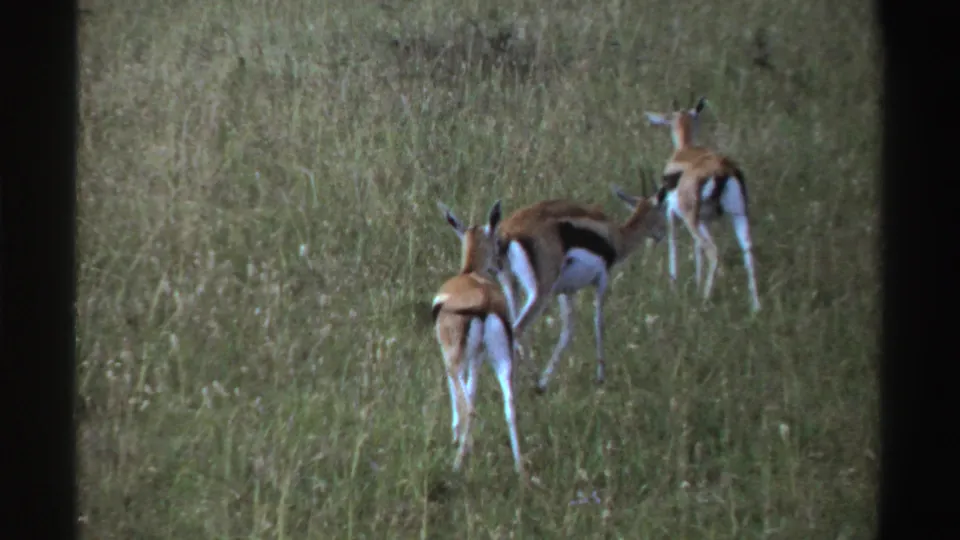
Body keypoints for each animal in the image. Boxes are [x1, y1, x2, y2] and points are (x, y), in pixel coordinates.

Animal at [431, 200, 526, 478]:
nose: (500, 265)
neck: (470, 273)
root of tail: (484, 303)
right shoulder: (478, 357)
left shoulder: (451, 355)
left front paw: (455, 437)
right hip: (502, 360)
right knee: (510, 406)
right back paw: (520, 470)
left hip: (457, 358)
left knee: (470, 409)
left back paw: (457, 464)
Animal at [494, 181, 666, 394]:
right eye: (662, 208)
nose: (662, 234)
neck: (616, 236)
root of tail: (509, 232)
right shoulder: (602, 279)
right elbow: (599, 322)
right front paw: (601, 377)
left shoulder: (567, 291)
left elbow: (568, 330)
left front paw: (546, 380)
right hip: (540, 292)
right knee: (518, 329)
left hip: (511, 286)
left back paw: (530, 382)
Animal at [644, 96, 761, 312]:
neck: (684, 151)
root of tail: (722, 169)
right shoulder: (704, 219)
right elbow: (697, 249)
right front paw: (696, 285)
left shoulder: (672, 214)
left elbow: (674, 245)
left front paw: (674, 287)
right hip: (738, 215)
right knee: (747, 251)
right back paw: (756, 306)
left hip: (692, 220)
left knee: (713, 251)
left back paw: (705, 300)